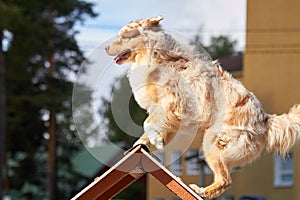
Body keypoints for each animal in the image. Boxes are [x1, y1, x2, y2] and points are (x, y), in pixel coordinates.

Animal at [105, 16, 300, 198]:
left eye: (125, 36)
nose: (106, 48)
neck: (156, 56)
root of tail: (265, 119)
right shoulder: (168, 117)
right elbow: (150, 129)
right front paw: (142, 144)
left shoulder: (169, 105)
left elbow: (147, 123)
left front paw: (155, 141)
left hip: (212, 144)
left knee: (225, 180)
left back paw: (200, 191)